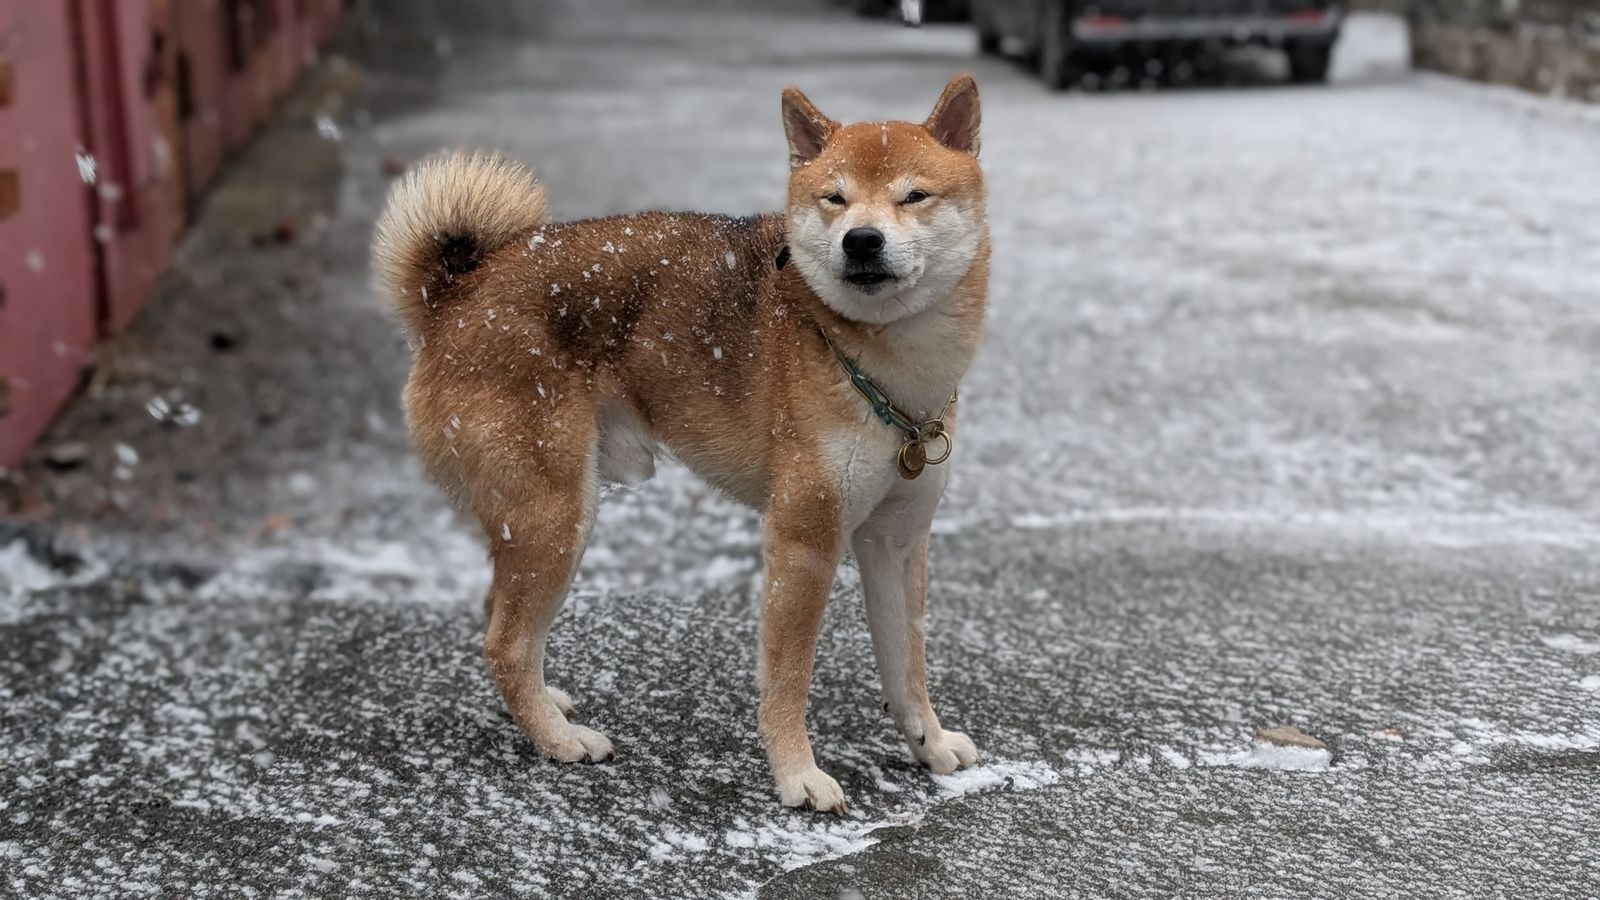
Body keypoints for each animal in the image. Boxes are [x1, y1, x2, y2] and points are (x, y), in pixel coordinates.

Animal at [372, 73, 985, 810]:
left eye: (913, 195)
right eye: (834, 198)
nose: (861, 241)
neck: (881, 363)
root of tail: (456, 295)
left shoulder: (896, 540)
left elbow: (907, 667)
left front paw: (929, 743)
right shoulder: (804, 538)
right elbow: (789, 678)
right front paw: (797, 774)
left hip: (544, 519)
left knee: (501, 619)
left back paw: (541, 709)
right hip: (559, 515)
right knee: (505, 642)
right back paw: (557, 740)